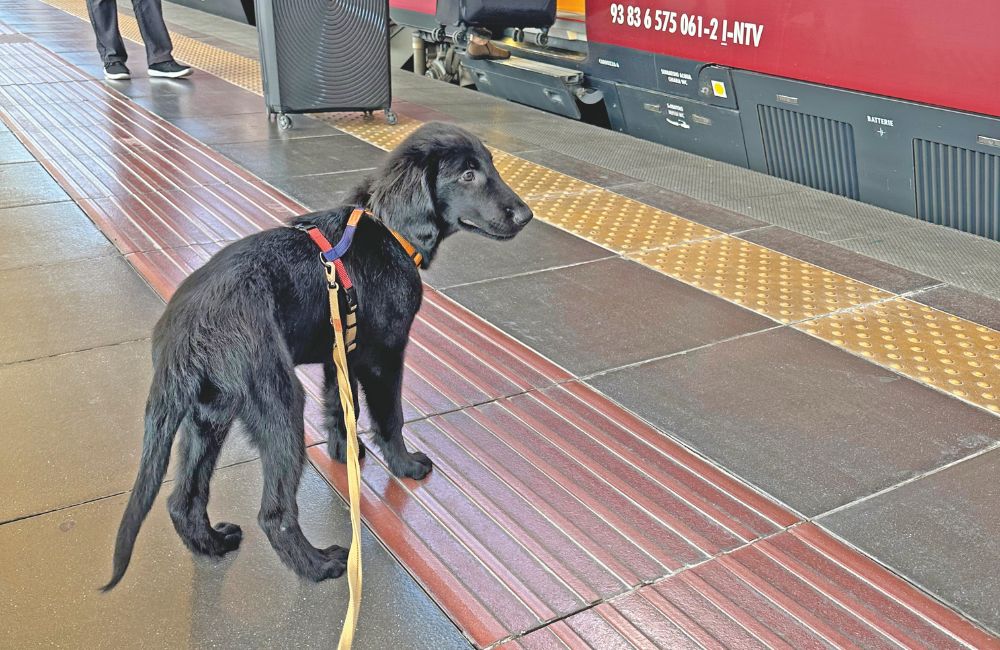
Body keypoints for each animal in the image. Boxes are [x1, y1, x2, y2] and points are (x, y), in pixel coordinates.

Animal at [103, 121, 532, 588]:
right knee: (273, 513)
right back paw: (318, 565)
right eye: (468, 175)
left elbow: (343, 407)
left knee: (183, 500)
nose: (526, 216)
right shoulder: (384, 358)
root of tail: (183, 333)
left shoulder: (339, 352)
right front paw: (405, 466)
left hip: (208, 414)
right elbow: (390, 418)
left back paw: (213, 544)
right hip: (279, 403)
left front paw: (347, 453)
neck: (387, 228)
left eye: (490, 164)